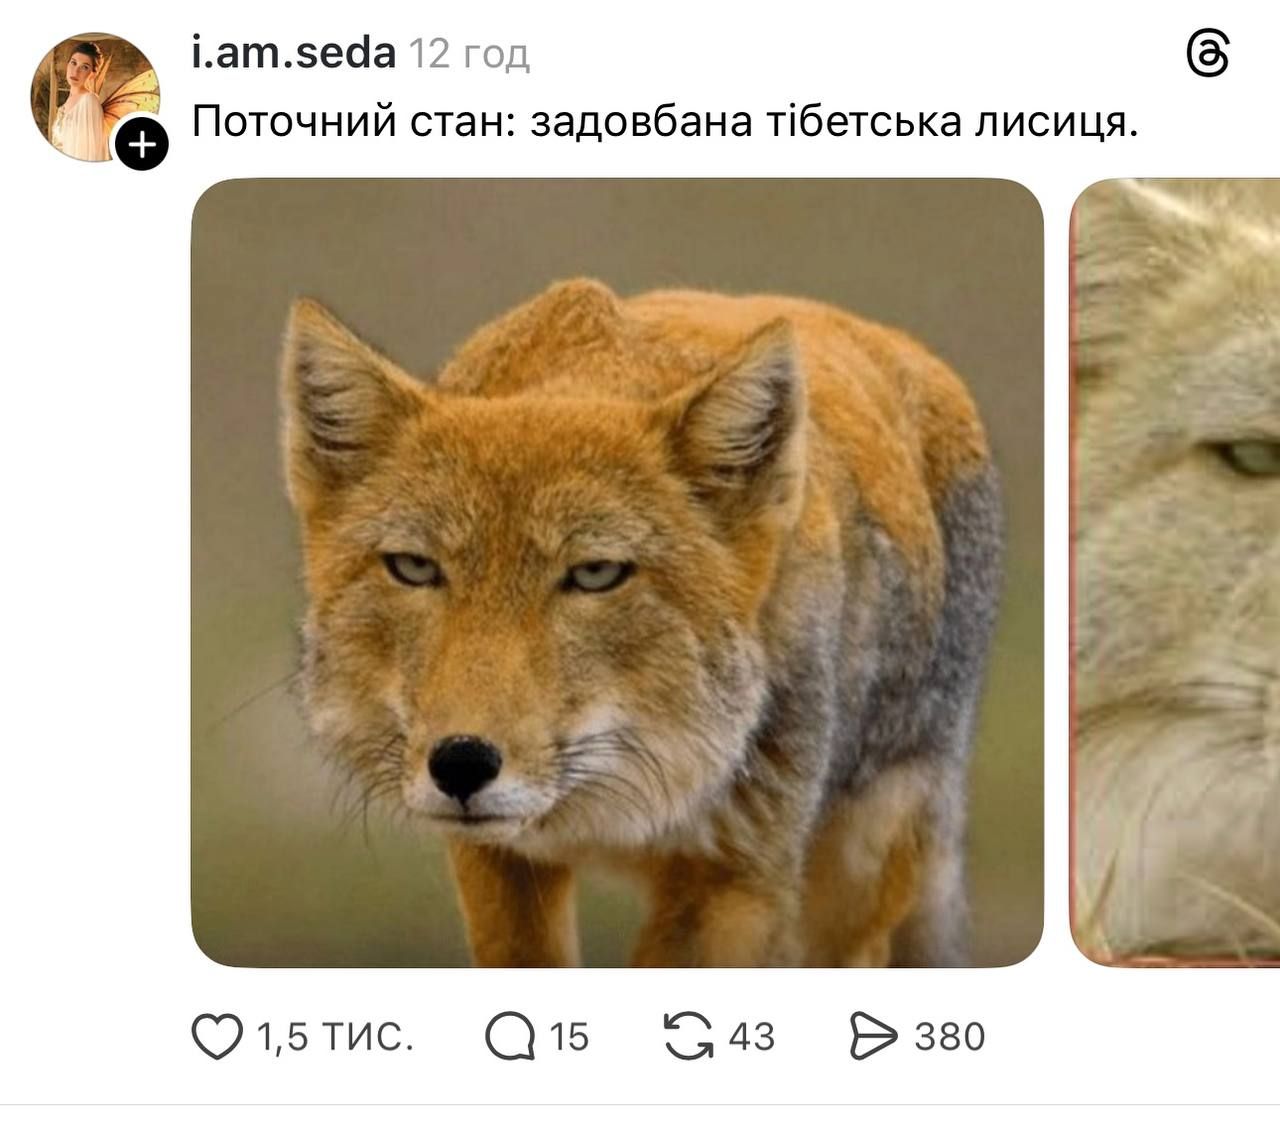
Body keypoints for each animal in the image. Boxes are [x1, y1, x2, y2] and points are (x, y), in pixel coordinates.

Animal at [280, 278, 1002, 967]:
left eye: (596, 574)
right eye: (414, 568)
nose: (460, 763)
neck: (611, 818)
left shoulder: (727, 884)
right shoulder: (499, 862)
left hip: (847, 891)